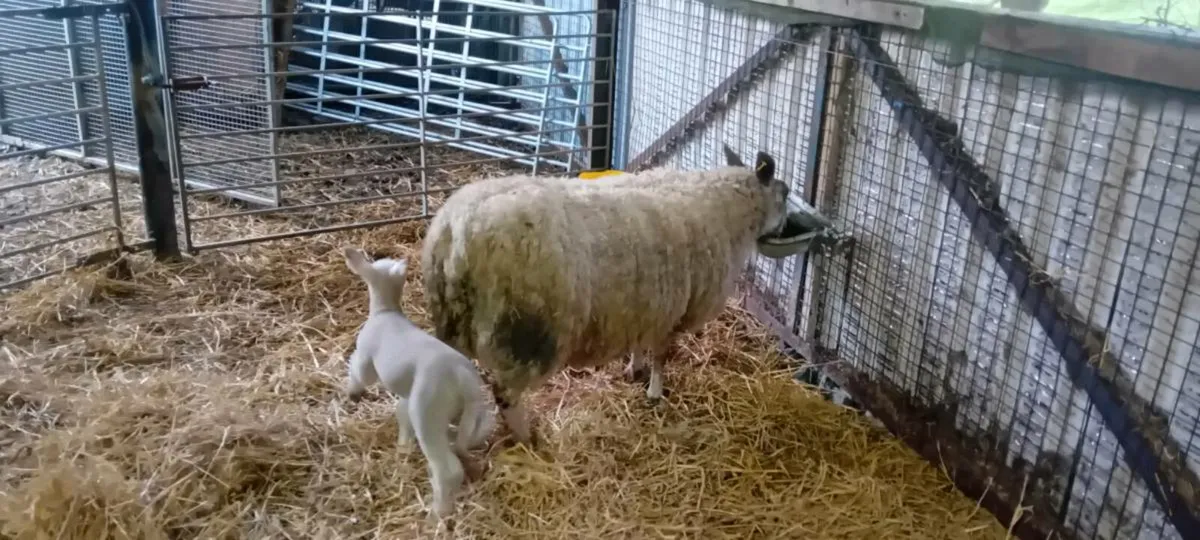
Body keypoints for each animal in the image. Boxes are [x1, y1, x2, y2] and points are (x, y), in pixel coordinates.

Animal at [340, 247, 496, 518]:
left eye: (374, 262)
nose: (350, 253)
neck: (386, 311)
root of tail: (463, 378)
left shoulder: (366, 358)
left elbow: (358, 371)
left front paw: (353, 393)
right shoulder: (407, 394)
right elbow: (401, 414)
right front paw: (403, 445)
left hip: (427, 411)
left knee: (448, 469)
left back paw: (438, 512)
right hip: (472, 414)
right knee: (466, 441)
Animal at [420, 144, 789, 447]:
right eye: (786, 195)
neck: (724, 206)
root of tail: (457, 231)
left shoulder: (649, 305)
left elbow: (643, 345)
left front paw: (634, 370)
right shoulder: (673, 310)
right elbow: (661, 356)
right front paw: (655, 392)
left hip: (453, 321)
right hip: (528, 332)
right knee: (506, 393)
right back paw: (527, 440)